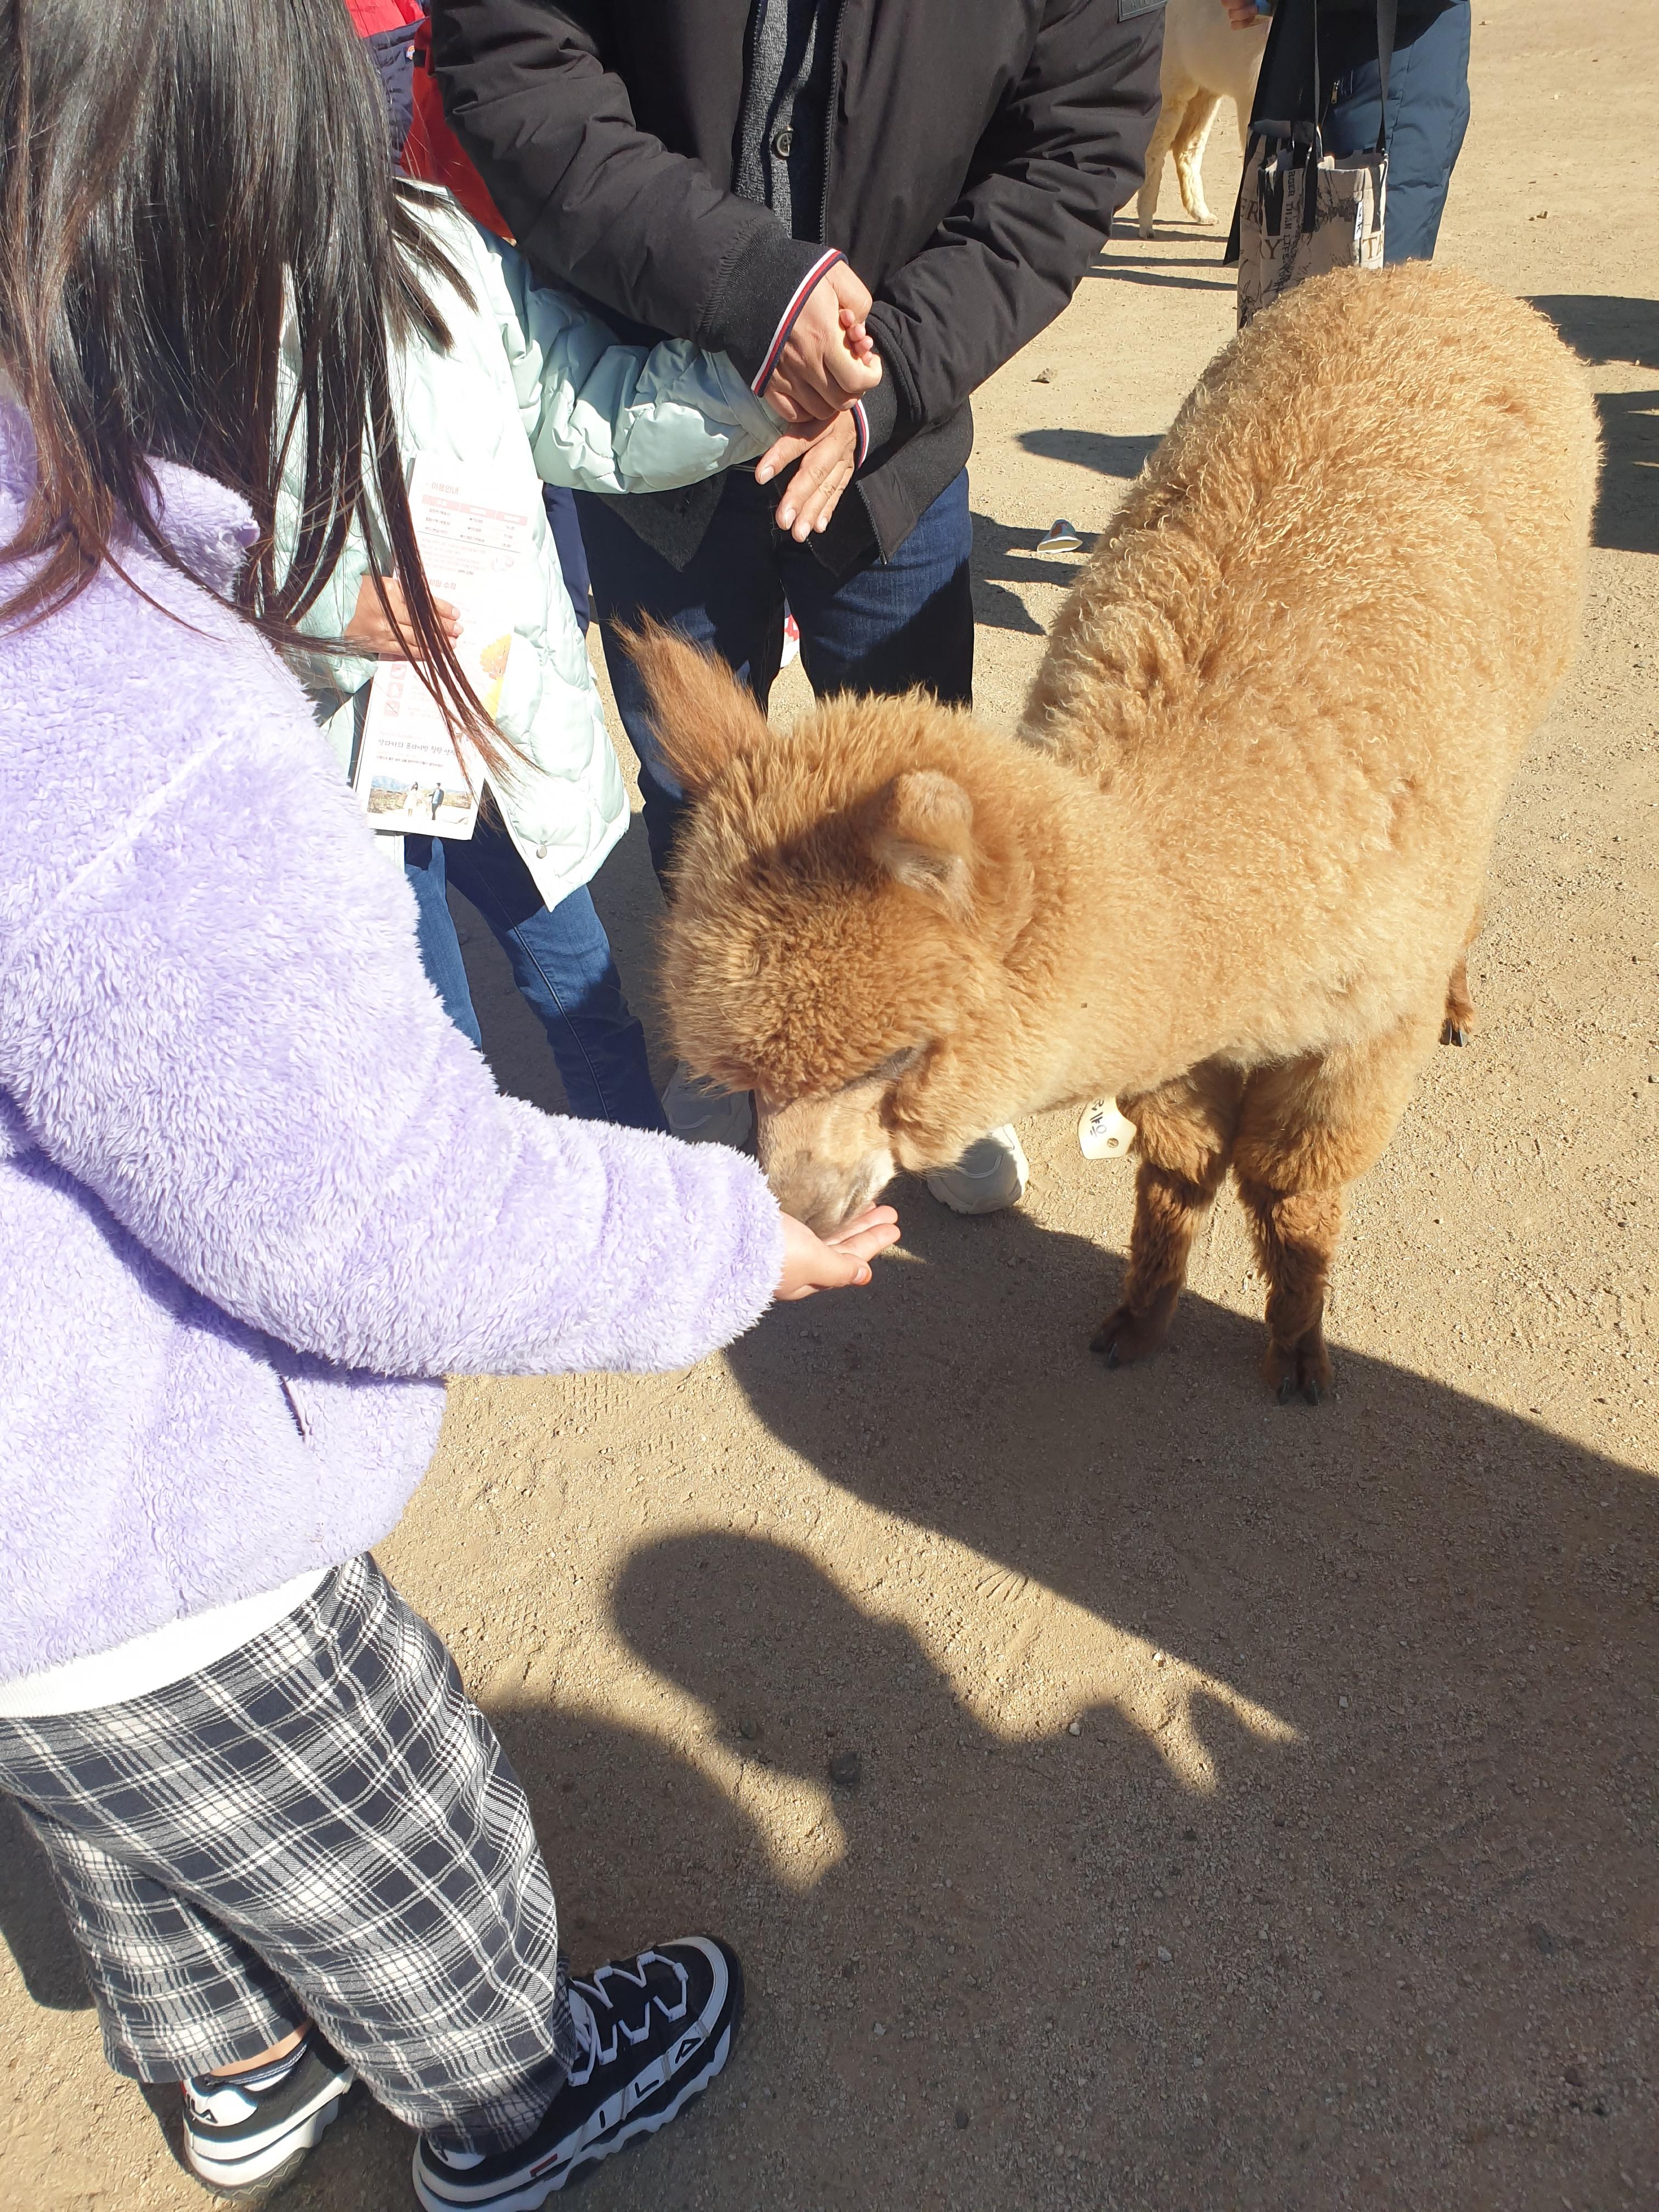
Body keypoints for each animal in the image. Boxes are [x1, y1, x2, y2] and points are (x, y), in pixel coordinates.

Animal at [626, 263, 1599, 1401]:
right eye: (742, 1082)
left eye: (899, 1054)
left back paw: (1457, 998)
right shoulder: (1184, 1032)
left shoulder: (1360, 1027)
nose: (797, 1214)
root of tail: (1428, 276)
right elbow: (1179, 1166)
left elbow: (1292, 1187)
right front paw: (1138, 1316)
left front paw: (1297, 1343)